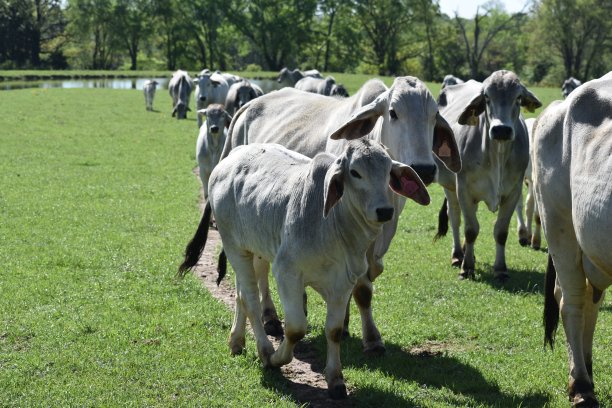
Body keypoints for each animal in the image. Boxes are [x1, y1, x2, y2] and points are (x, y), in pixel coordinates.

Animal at [178, 139, 430, 398]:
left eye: (389, 171)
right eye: (355, 172)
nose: (385, 211)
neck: (334, 226)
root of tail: (231, 156)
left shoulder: (343, 283)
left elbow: (334, 331)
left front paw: (336, 380)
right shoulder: (286, 272)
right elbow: (296, 329)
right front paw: (276, 358)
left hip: (254, 249)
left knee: (241, 295)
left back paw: (236, 341)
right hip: (234, 247)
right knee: (251, 300)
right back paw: (263, 349)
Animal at [221, 76, 460, 354]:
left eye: (434, 115)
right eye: (393, 112)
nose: (424, 169)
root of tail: (249, 105)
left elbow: (359, 289)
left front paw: (354, 330)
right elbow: (361, 289)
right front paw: (370, 337)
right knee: (258, 271)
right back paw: (269, 317)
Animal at [436, 70, 540, 280]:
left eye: (518, 98)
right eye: (486, 98)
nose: (501, 129)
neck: (497, 155)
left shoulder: (513, 191)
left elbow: (500, 231)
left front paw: (500, 269)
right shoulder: (463, 189)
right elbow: (470, 229)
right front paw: (466, 267)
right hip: (449, 186)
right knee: (455, 217)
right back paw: (458, 254)